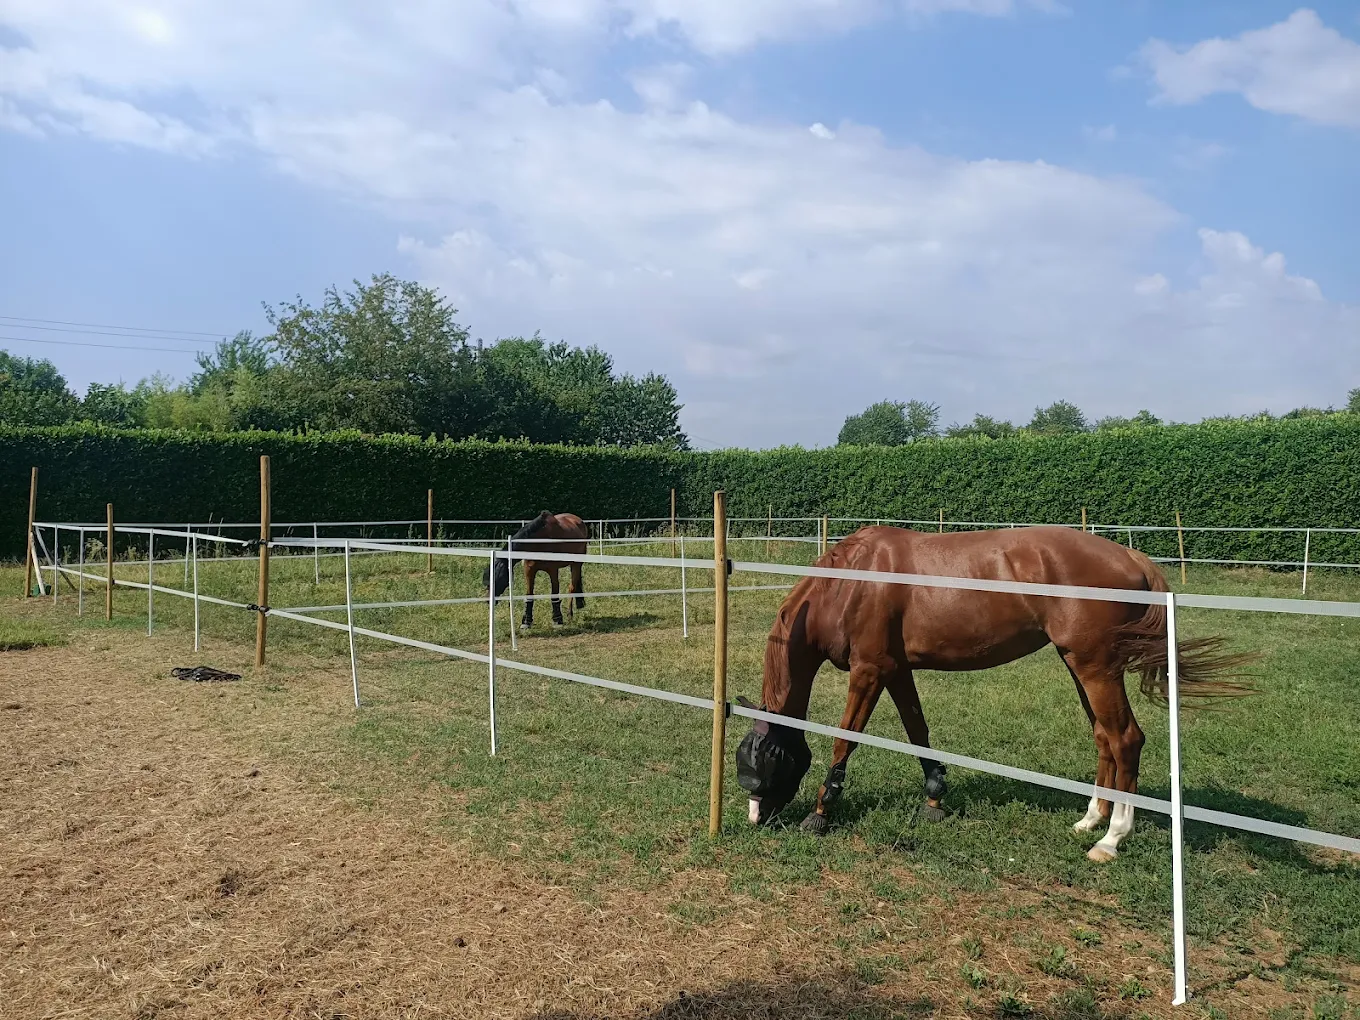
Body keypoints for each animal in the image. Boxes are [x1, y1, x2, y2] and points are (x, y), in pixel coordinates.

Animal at [734, 525, 1253, 862]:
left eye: (768, 759)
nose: (756, 818)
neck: (850, 584)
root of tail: (1131, 557)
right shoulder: (897, 671)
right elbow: (919, 732)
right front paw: (935, 800)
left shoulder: (869, 672)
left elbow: (846, 740)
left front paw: (821, 812)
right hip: (1080, 667)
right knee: (1104, 738)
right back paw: (1090, 819)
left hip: (1096, 668)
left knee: (1125, 739)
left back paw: (1111, 838)